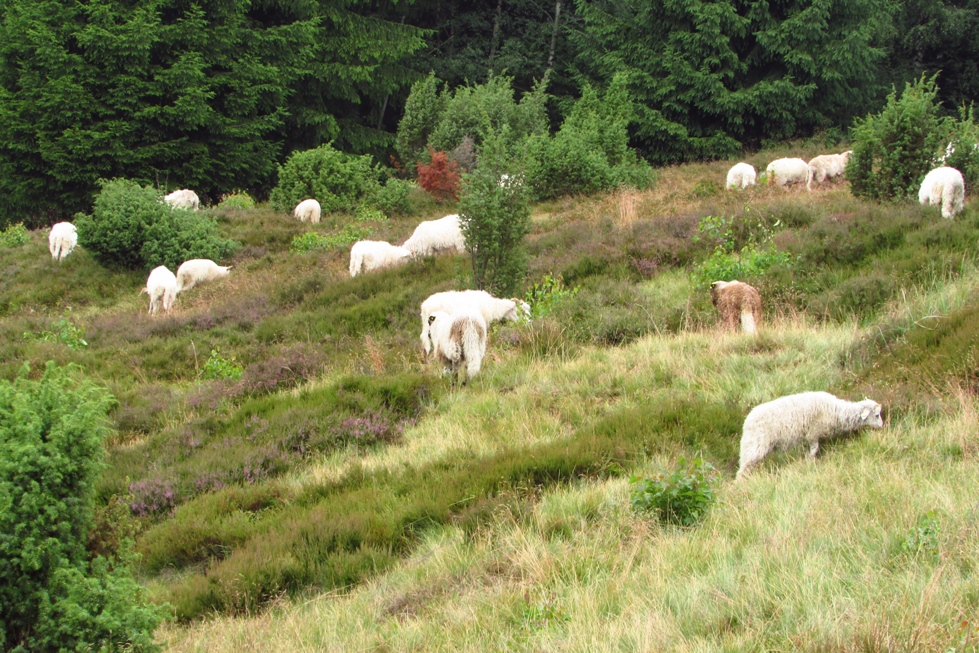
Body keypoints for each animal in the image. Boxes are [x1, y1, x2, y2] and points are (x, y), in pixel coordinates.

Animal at [740, 390, 884, 476]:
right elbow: (814, 450)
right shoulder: (813, 433)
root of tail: (747, 422)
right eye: (877, 415)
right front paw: (810, 462)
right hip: (755, 445)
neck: (837, 411)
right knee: (744, 467)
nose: (882, 426)